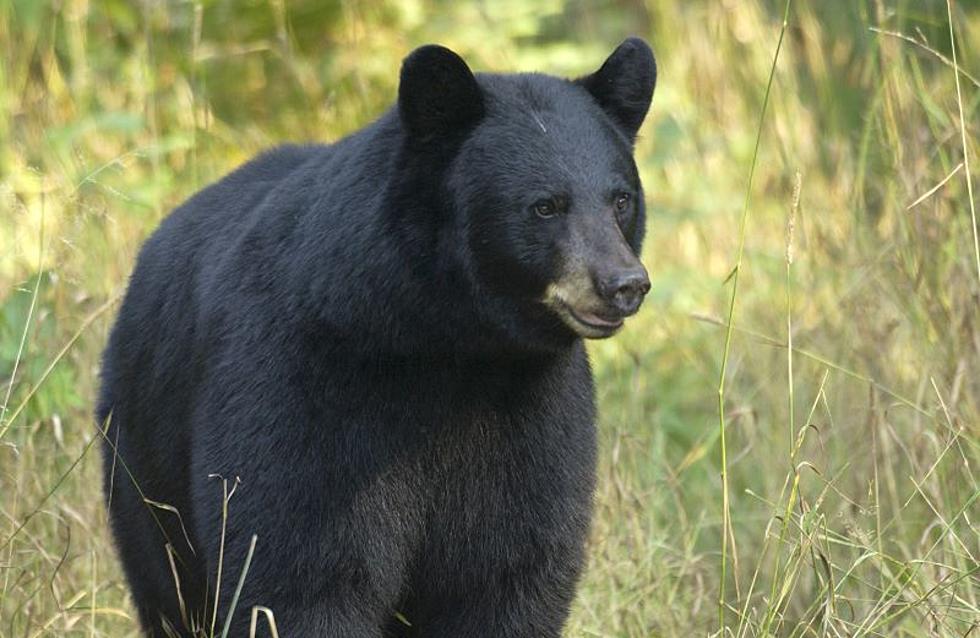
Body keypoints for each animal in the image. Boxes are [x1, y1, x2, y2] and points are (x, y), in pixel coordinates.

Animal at [97, 37, 660, 636]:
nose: (623, 284)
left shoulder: (532, 412)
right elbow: (299, 567)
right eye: (545, 205)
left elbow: (509, 573)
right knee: (171, 581)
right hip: (144, 450)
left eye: (620, 199)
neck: (448, 346)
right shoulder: (305, 387)